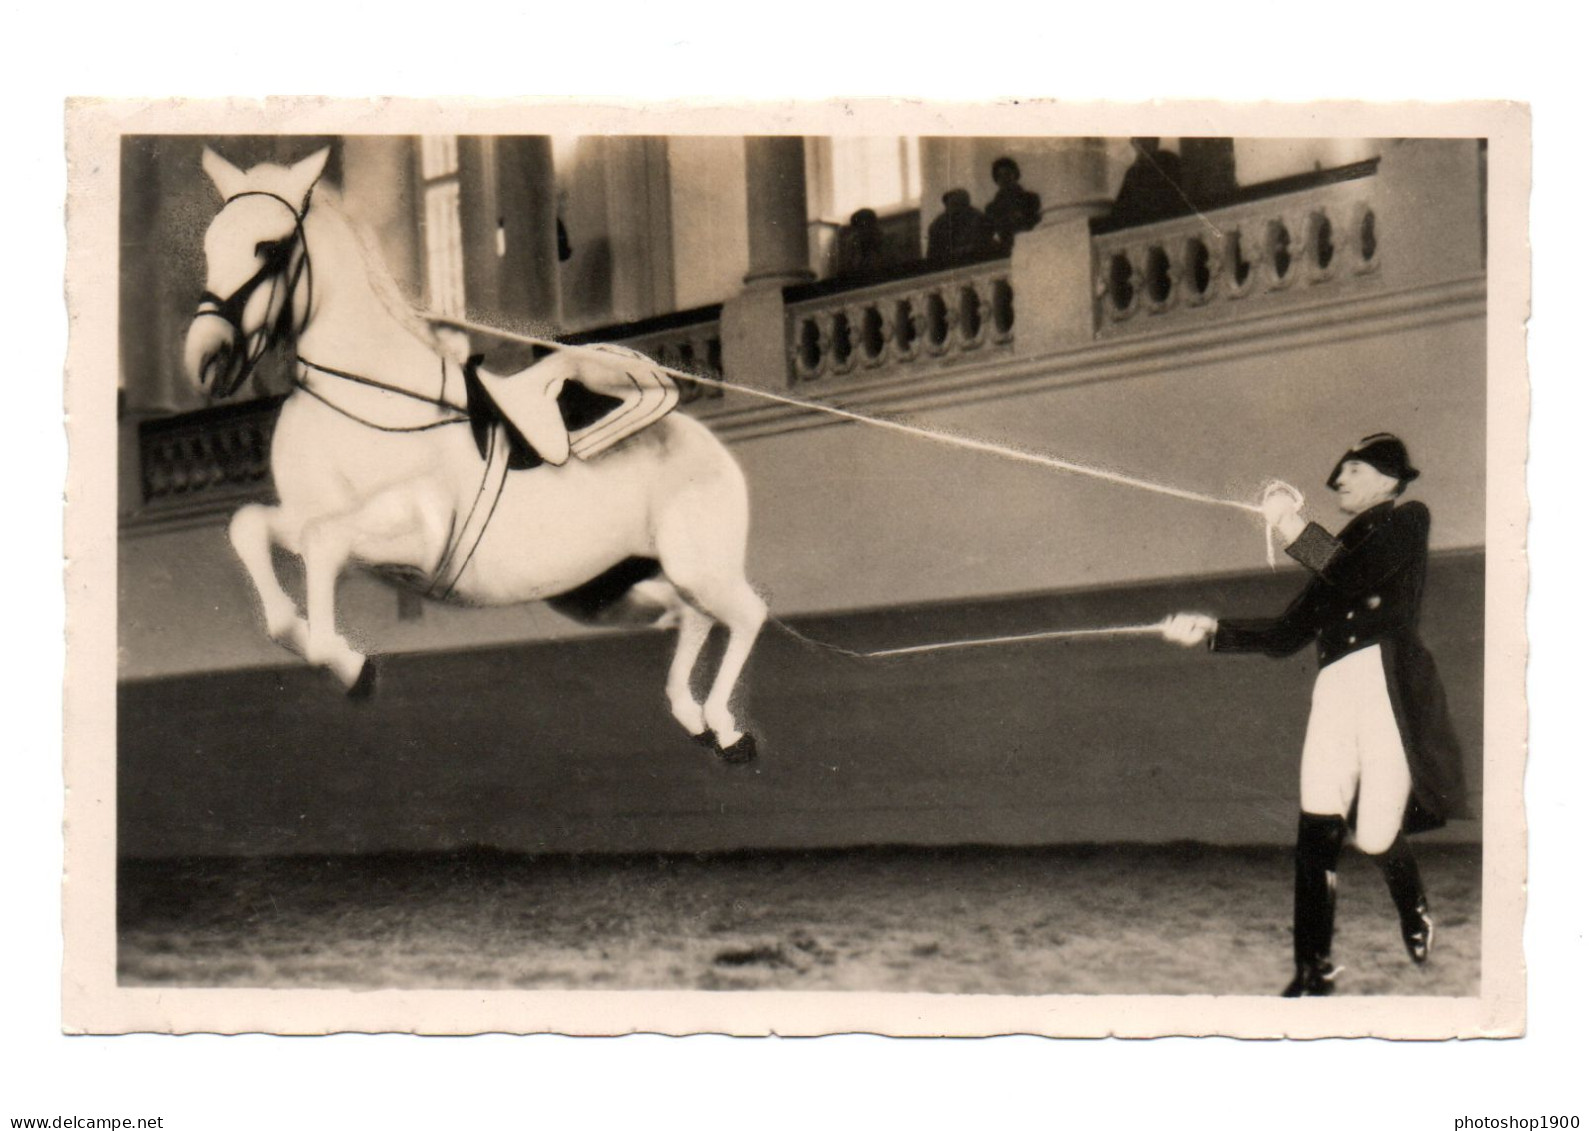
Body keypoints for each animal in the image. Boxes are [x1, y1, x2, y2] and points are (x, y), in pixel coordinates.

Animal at [185, 143, 769, 759]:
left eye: (268, 248)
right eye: (211, 244)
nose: (206, 359)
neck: (365, 394)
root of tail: (709, 446)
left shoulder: (419, 533)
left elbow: (324, 545)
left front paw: (351, 667)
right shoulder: (303, 516)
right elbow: (251, 528)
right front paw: (321, 646)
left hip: (697, 566)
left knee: (745, 614)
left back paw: (727, 729)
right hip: (603, 595)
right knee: (690, 616)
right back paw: (695, 718)